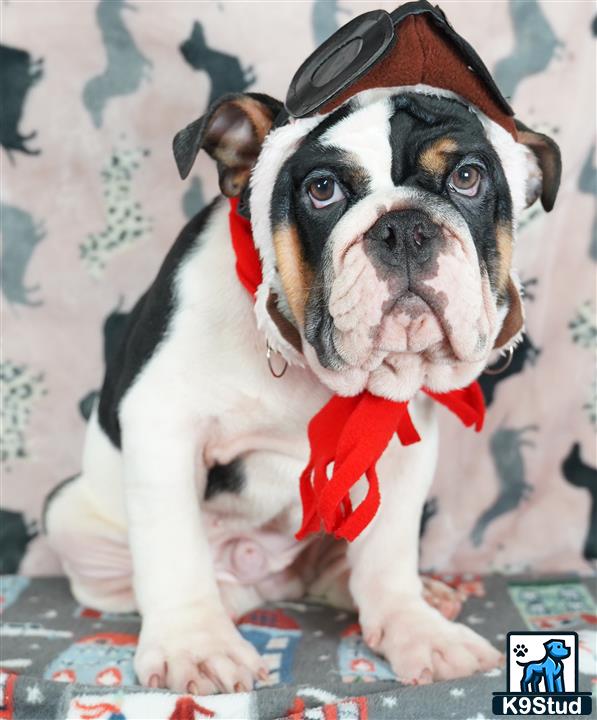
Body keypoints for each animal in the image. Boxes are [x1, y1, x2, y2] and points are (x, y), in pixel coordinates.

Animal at [45, 81, 560, 696]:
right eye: (322, 189)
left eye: (467, 177)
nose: (405, 228)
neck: (306, 362)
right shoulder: (163, 426)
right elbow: (175, 550)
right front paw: (196, 646)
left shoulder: (401, 448)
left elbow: (388, 554)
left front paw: (416, 629)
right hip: (68, 515)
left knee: (342, 570)